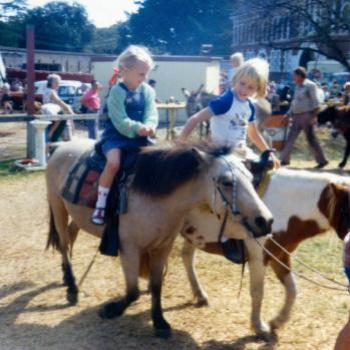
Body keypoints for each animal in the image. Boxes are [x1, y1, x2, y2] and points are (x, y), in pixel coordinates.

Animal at [180, 170, 350, 336]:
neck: (284, 208)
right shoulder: (258, 258)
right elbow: (258, 292)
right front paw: (258, 326)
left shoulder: (280, 256)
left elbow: (292, 290)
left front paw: (278, 321)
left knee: (187, 257)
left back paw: (200, 295)